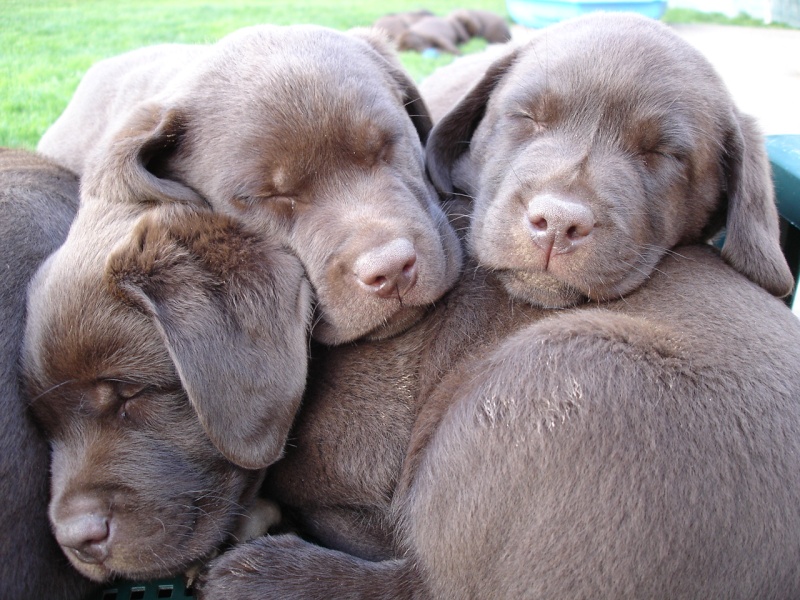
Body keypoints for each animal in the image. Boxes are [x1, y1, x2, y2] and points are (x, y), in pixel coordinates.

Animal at [195, 14, 800, 600]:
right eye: (524, 118)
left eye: (667, 154)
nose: (558, 221)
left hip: (562, 368)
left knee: (427, 581)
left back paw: (264, 574)